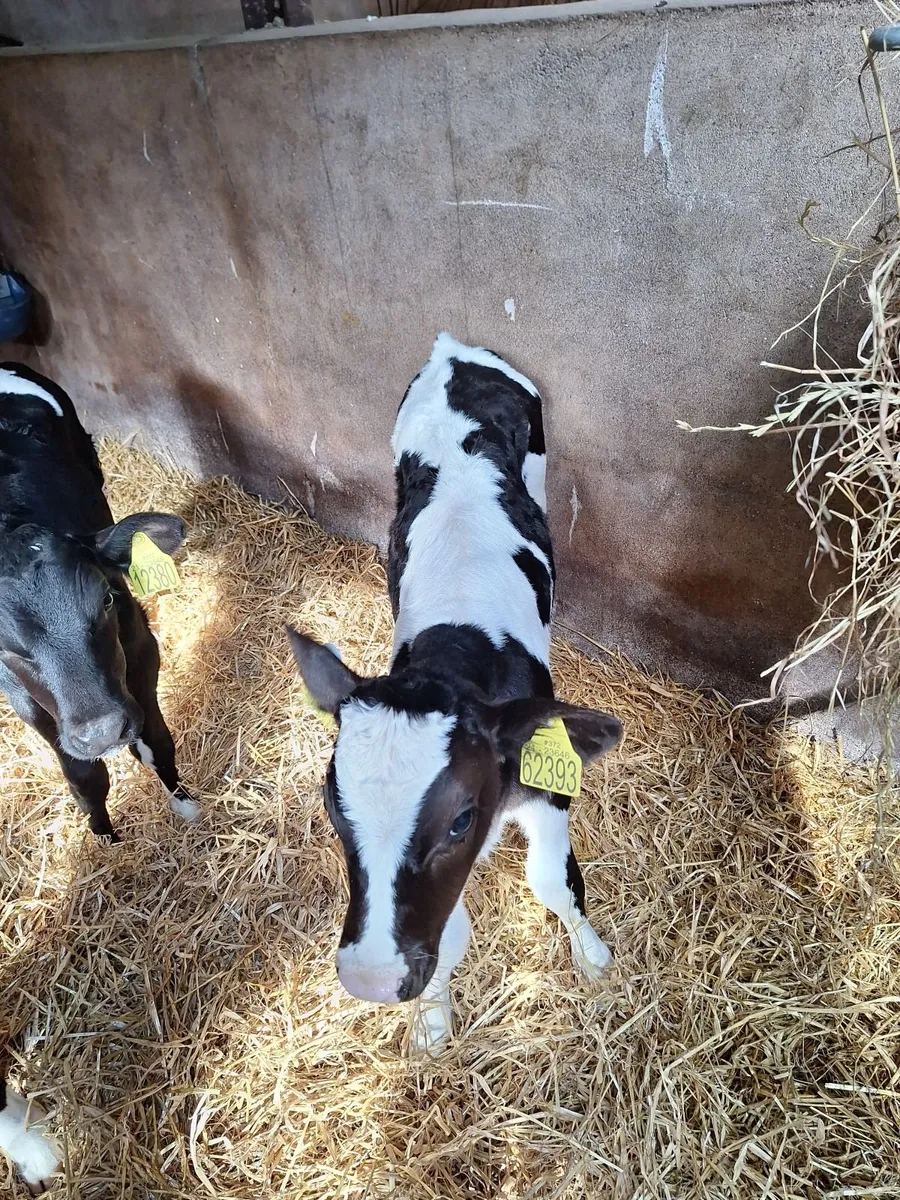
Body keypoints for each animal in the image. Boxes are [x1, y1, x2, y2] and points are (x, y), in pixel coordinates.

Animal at [0, 362, 198, 840]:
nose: (103, 732)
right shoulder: (23, 698)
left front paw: (185, 803)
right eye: (5, 644)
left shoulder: (142, 650)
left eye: (107, 600)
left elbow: (156, 739)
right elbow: (84, 775)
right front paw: (104, 837)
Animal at [288, 333, 623, 1052]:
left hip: (542, 461)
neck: (454, 653)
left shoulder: (545, 773)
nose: (372, 978)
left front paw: (591, 956)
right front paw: (433, 1018)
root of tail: (453, 349)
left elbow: (551, 883)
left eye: (461, 819)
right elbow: (449, 936)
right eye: (333, 807)